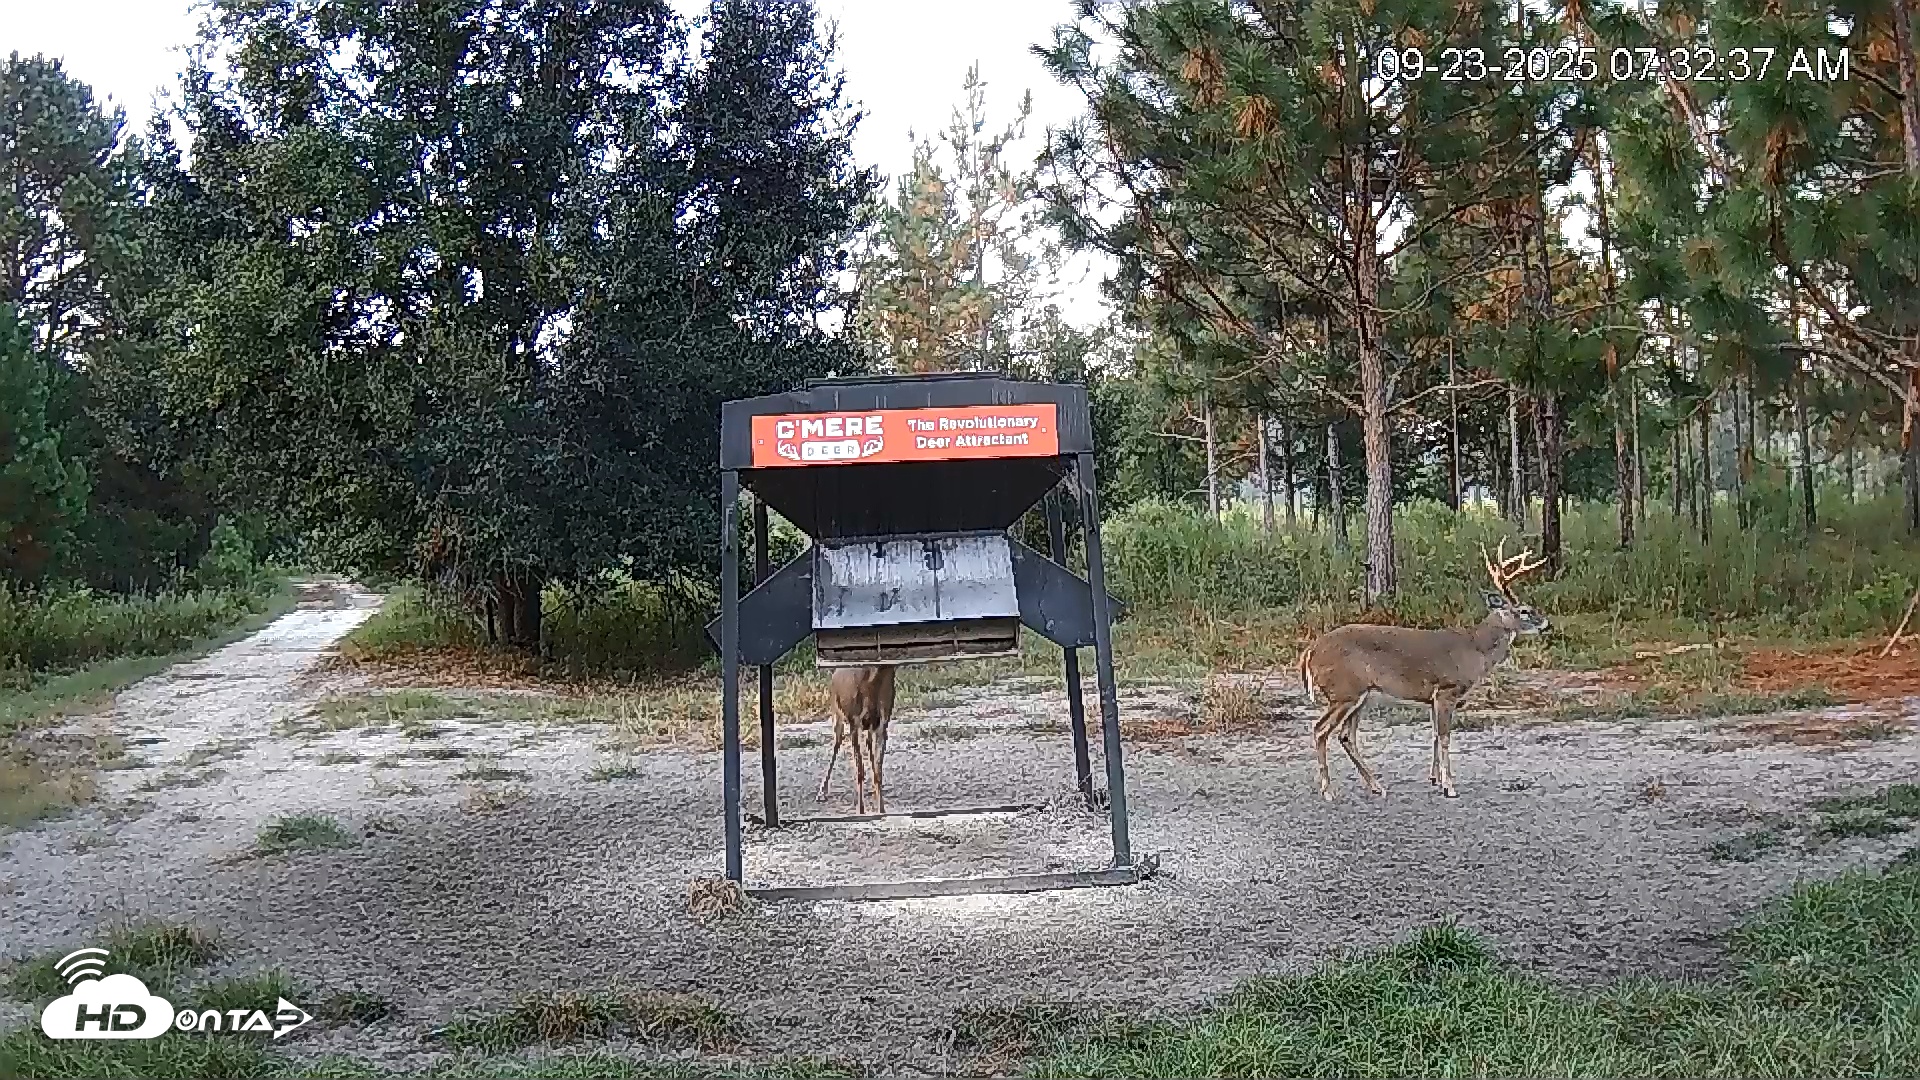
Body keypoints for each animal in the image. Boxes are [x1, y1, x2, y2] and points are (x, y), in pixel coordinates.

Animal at [815, 664, 897, 815]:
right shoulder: (854, 721)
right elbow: (859, 768)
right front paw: (861, 809)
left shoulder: (882, 723)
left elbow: (878, 768)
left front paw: (881, 808)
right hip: (838, 712)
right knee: (837, 742)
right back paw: (821, 792)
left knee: (867, 745)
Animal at [1297, 541, 1551, 801]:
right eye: (1524, 610)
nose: (1546, 623)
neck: (1475, 649)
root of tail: (1311, 651)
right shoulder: (1447, 689)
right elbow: (1446, 736)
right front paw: (1449, 786)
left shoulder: (1432, 698)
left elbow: (1436, 735)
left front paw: (1435, 779)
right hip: (1344, 691)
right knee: (1320, 730)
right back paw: (1328, 790)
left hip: (1360, 696)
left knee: (1346, 736)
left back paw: (1376, 786)